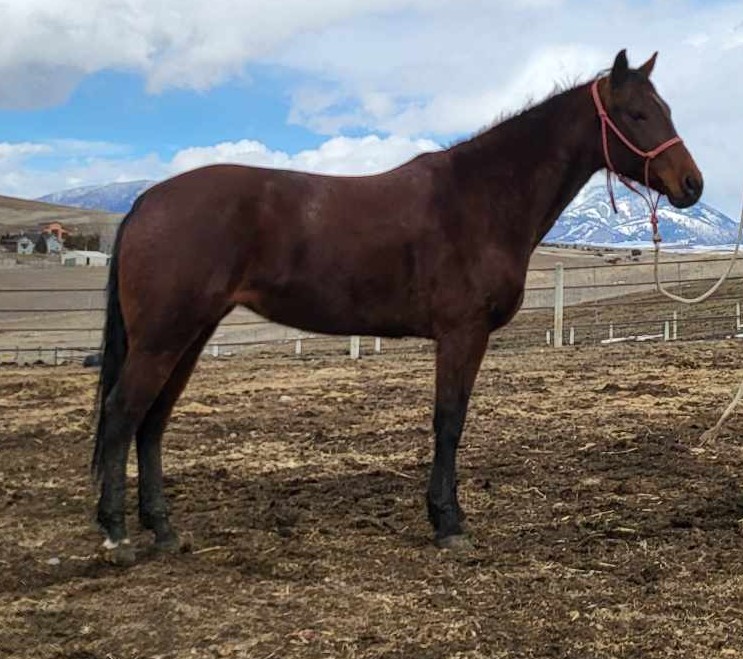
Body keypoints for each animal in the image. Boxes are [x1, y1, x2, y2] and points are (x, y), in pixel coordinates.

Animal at [92, 50, 703, 564]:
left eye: (667, 110)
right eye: (637, 113)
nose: (692, 184)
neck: (480, 198)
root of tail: (146, 201)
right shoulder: (461, 334)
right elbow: (449, 421)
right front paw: (448, 524)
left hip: (188, 337)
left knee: (152, 422)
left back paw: (163, 530)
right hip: (163, 338)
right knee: (124, 414)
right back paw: (117, 536)